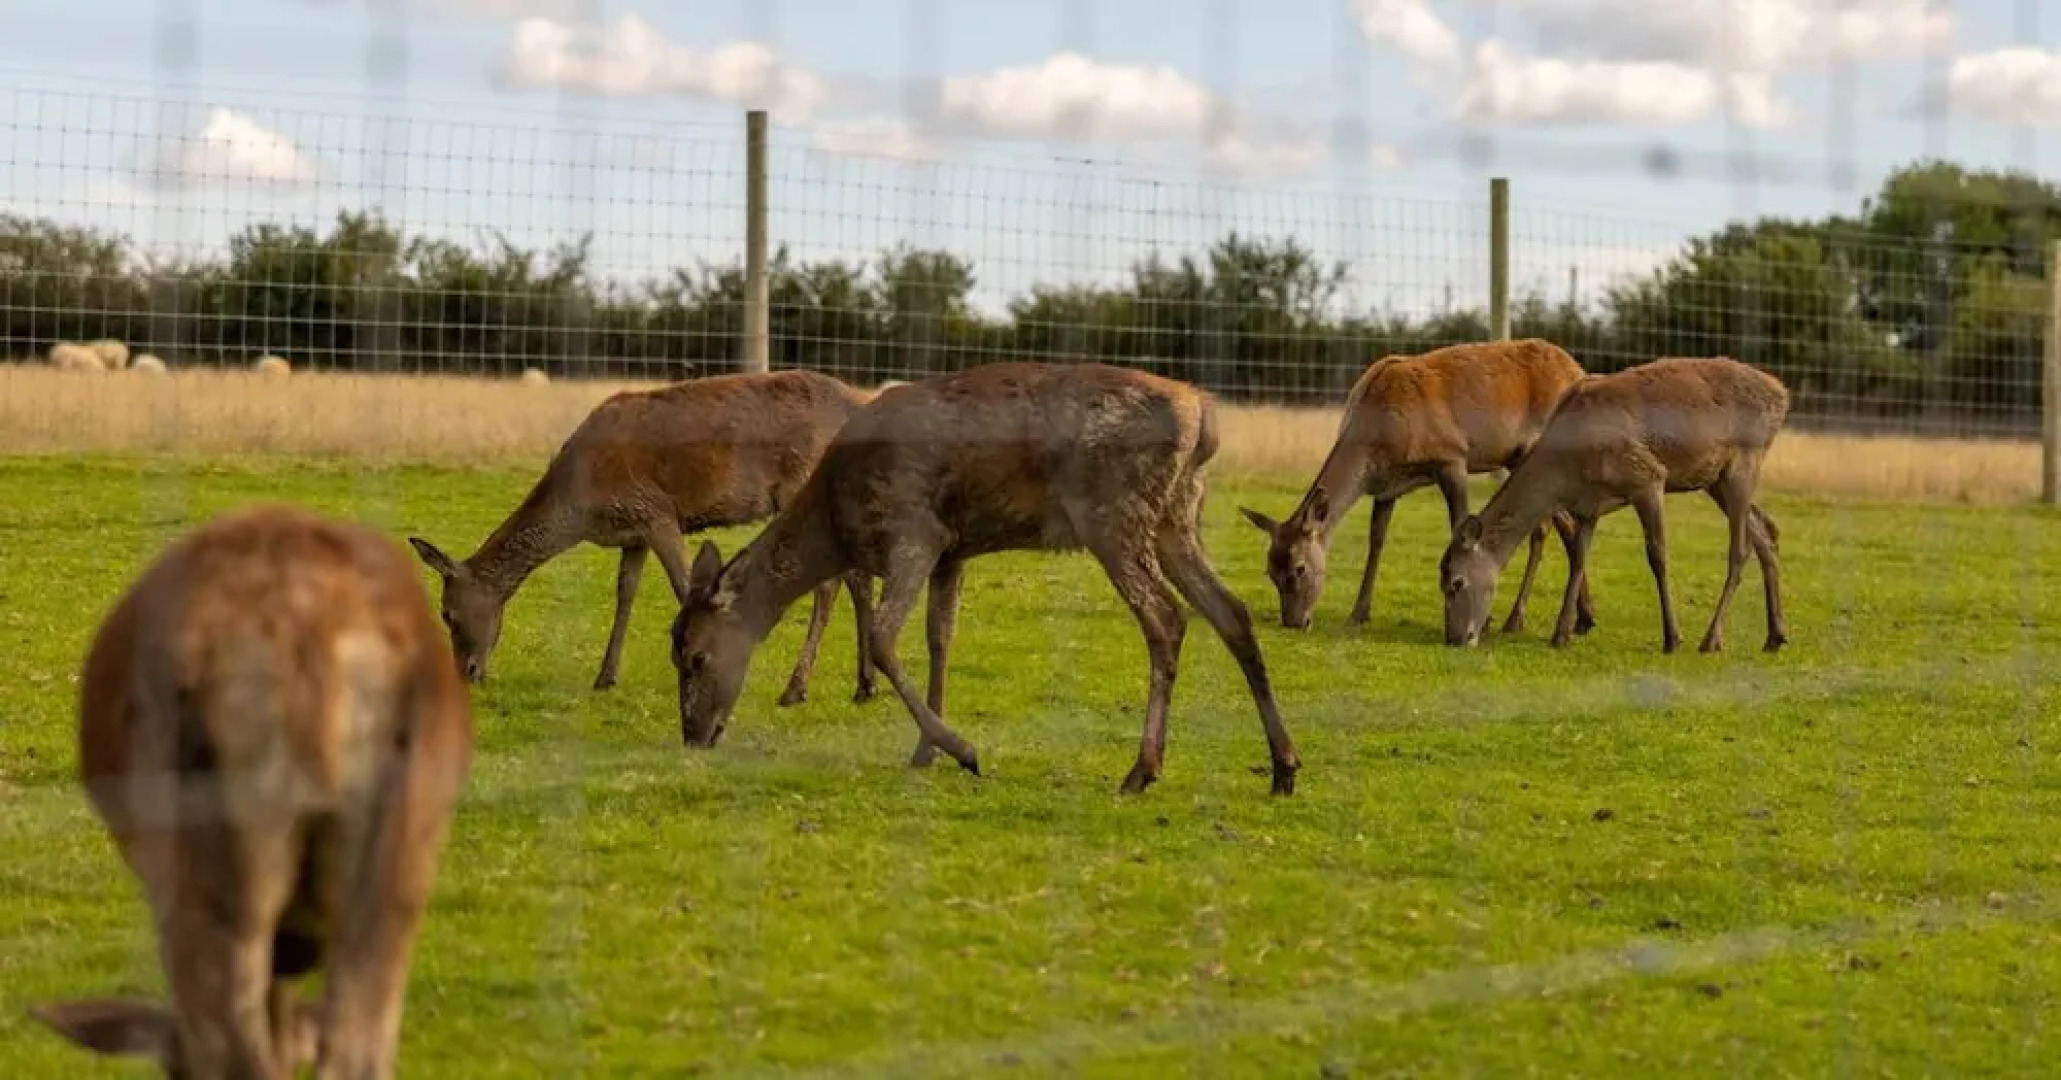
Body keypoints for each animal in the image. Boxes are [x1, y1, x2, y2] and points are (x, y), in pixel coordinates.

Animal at [406, 368, 879, 705]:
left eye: (446, 613)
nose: (467, 672)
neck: (581, 507)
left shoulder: (656, 510)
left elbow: (683, 585)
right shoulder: (632, 532)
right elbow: (625, 593)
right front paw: (605, 676)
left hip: (802, 484)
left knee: (830, 583)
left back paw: (796, 689)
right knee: (856, 577)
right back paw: (865, 685)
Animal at [668, 361, 1302, 796]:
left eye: (695, 656)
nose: (693, 735)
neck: (834, 523)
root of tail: (1205, 417)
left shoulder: (914, 531)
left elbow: (883, 638)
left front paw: (963, 750)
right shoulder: (952, 551)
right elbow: (939, 639)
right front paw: (926, 750)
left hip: (1113, 511)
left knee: (1167, 617)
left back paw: (1142, 771)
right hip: (1177, 514)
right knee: (1231, 610)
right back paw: (1284, 767)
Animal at [1239, 338, 1598, 636]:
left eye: (1299, 569)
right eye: (1269, 572)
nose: (1294, 622)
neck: (1379, 437)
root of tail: (1577, 368)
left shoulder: (1451, 457)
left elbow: (1460, 526)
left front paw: (1481, 618)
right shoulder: (1385, 486)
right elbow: (1376, 541)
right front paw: (1358, 613)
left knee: (1549, 526)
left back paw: (1518, 620)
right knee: (1561, 526)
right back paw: (1583, 618)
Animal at [1439, 355, 1791, 655]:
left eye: (1456, 583)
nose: (1454, 639)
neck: (1568, 470)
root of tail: (1782, 394)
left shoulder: (1648, 477)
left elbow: (1657, 555)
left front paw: (1672, 638)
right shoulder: (1588, 506)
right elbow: (1578, 558)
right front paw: (1561, 634)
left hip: (1743, 463)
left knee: (1740, 549)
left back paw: (1711, 640)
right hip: (1714, 479)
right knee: (1766, 530)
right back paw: (1775, 636)